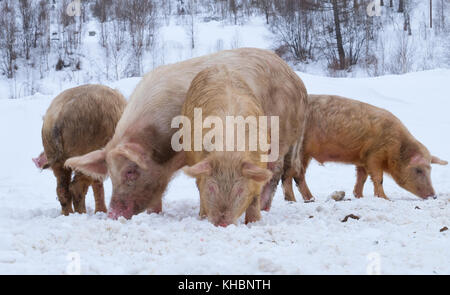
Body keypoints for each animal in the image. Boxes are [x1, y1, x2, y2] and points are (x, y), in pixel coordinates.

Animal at [39, 84, 126, 216]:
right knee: (76, 187)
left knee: (62, 187)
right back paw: (82, 213)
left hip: (53, 152)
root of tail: (57, 119)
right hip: (85, 149)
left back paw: (69, 214)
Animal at [63, 48, 308, 220]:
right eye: (111, 174)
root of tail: (298, 82)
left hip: (280, 136)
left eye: (131, 171)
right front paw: (155, 213)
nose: (113, 214)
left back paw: (265, 208)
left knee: (274, 171)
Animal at [282, 94, 446, 201]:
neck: (395, 147)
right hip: (300, 150)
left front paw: (358, 196)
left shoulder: (362, 159)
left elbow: (362, 178)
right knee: (293, 175)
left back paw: (305, 199)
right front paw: (385, 199)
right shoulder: (374, 154)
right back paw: (301, 200)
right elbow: (378, 178)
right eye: (418, 170)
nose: (434, 196)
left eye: (430, 170)